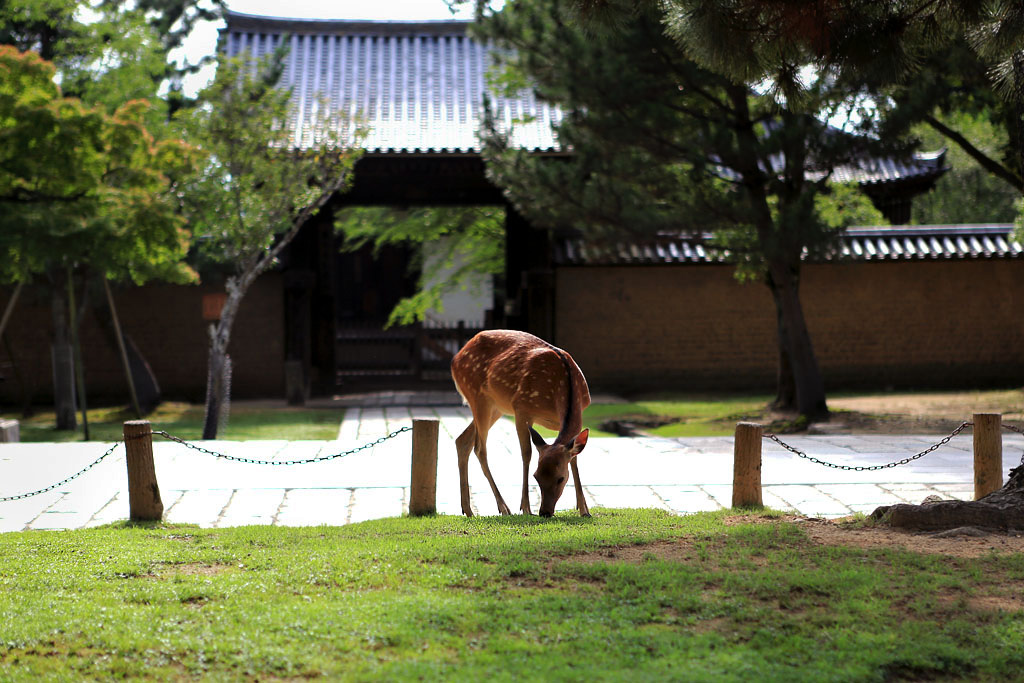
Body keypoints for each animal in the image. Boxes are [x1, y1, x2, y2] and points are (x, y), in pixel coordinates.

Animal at [450, 331, 593, 518]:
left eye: (561, 478)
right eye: (536, 476)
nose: (544, 512)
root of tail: (455, 359)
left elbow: (574, 459)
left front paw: (584, 509)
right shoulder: (522, 408)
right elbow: (527, 454)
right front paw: (525, 507)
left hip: (496, 406)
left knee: (462, 440)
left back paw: (467, 510)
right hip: (477, 396)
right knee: (480, 449)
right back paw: (503, 507)